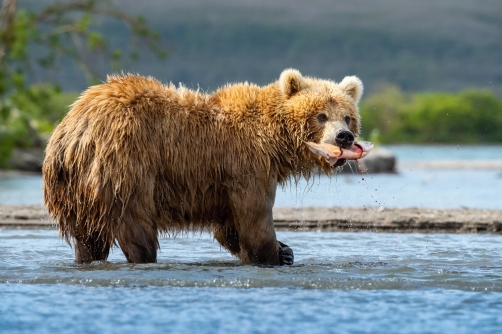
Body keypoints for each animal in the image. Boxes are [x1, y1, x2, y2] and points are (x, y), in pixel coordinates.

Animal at [43, 68, 362, 266]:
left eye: (347, 116)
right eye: (321, 115)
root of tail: (71, 131)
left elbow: (229, 227)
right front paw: (273, 254)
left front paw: (286, 252)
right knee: (137, 228)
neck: (275, 141)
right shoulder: (246, 165)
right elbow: (254, 218)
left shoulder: (224, 182)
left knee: (88, 238)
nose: (344, 137)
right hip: (124, 166)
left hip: (76, 191)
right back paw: (143, 258)